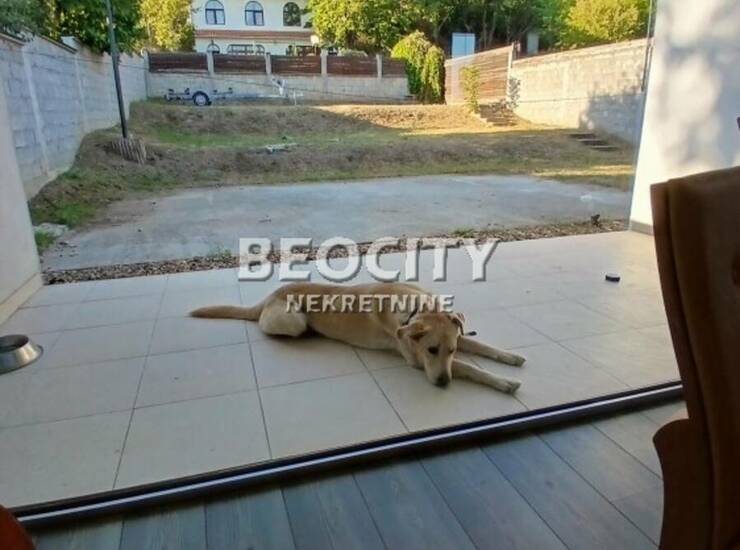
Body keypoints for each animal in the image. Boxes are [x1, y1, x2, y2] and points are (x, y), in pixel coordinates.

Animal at [191, 282, 525, 393]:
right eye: (431, 351)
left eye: (451, 349)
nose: (443, 383)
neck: (415, 307)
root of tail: (269, 295)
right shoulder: (417, 362)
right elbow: (469, 368)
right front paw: (504, 382)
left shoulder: (458, 338)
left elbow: (482, 346)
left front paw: (510, 357)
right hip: (294, 320)